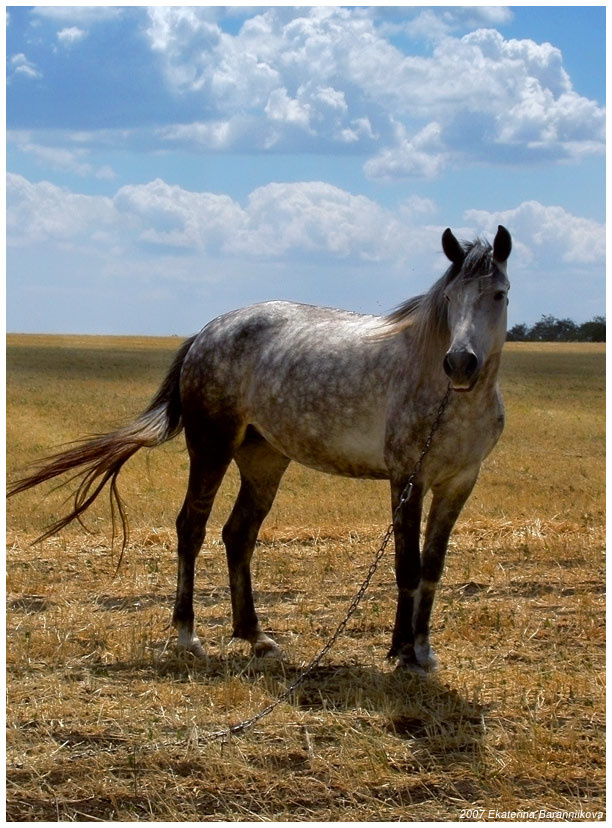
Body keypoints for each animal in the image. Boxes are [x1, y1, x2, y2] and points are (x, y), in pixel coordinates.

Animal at [8, 225, 512, 672]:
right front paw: (403, 653)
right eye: (449, 299)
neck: (445, 394)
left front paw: (423, 650)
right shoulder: (407, 478)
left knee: (238, 534)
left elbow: (433, 566)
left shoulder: (458, 483)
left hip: (264, 460)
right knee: (191, 528)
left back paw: (255, 636)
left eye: (499, 295)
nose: (460, 363)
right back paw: (188, 636)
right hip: (211, 448)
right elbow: (407, 566)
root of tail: (206, 333)